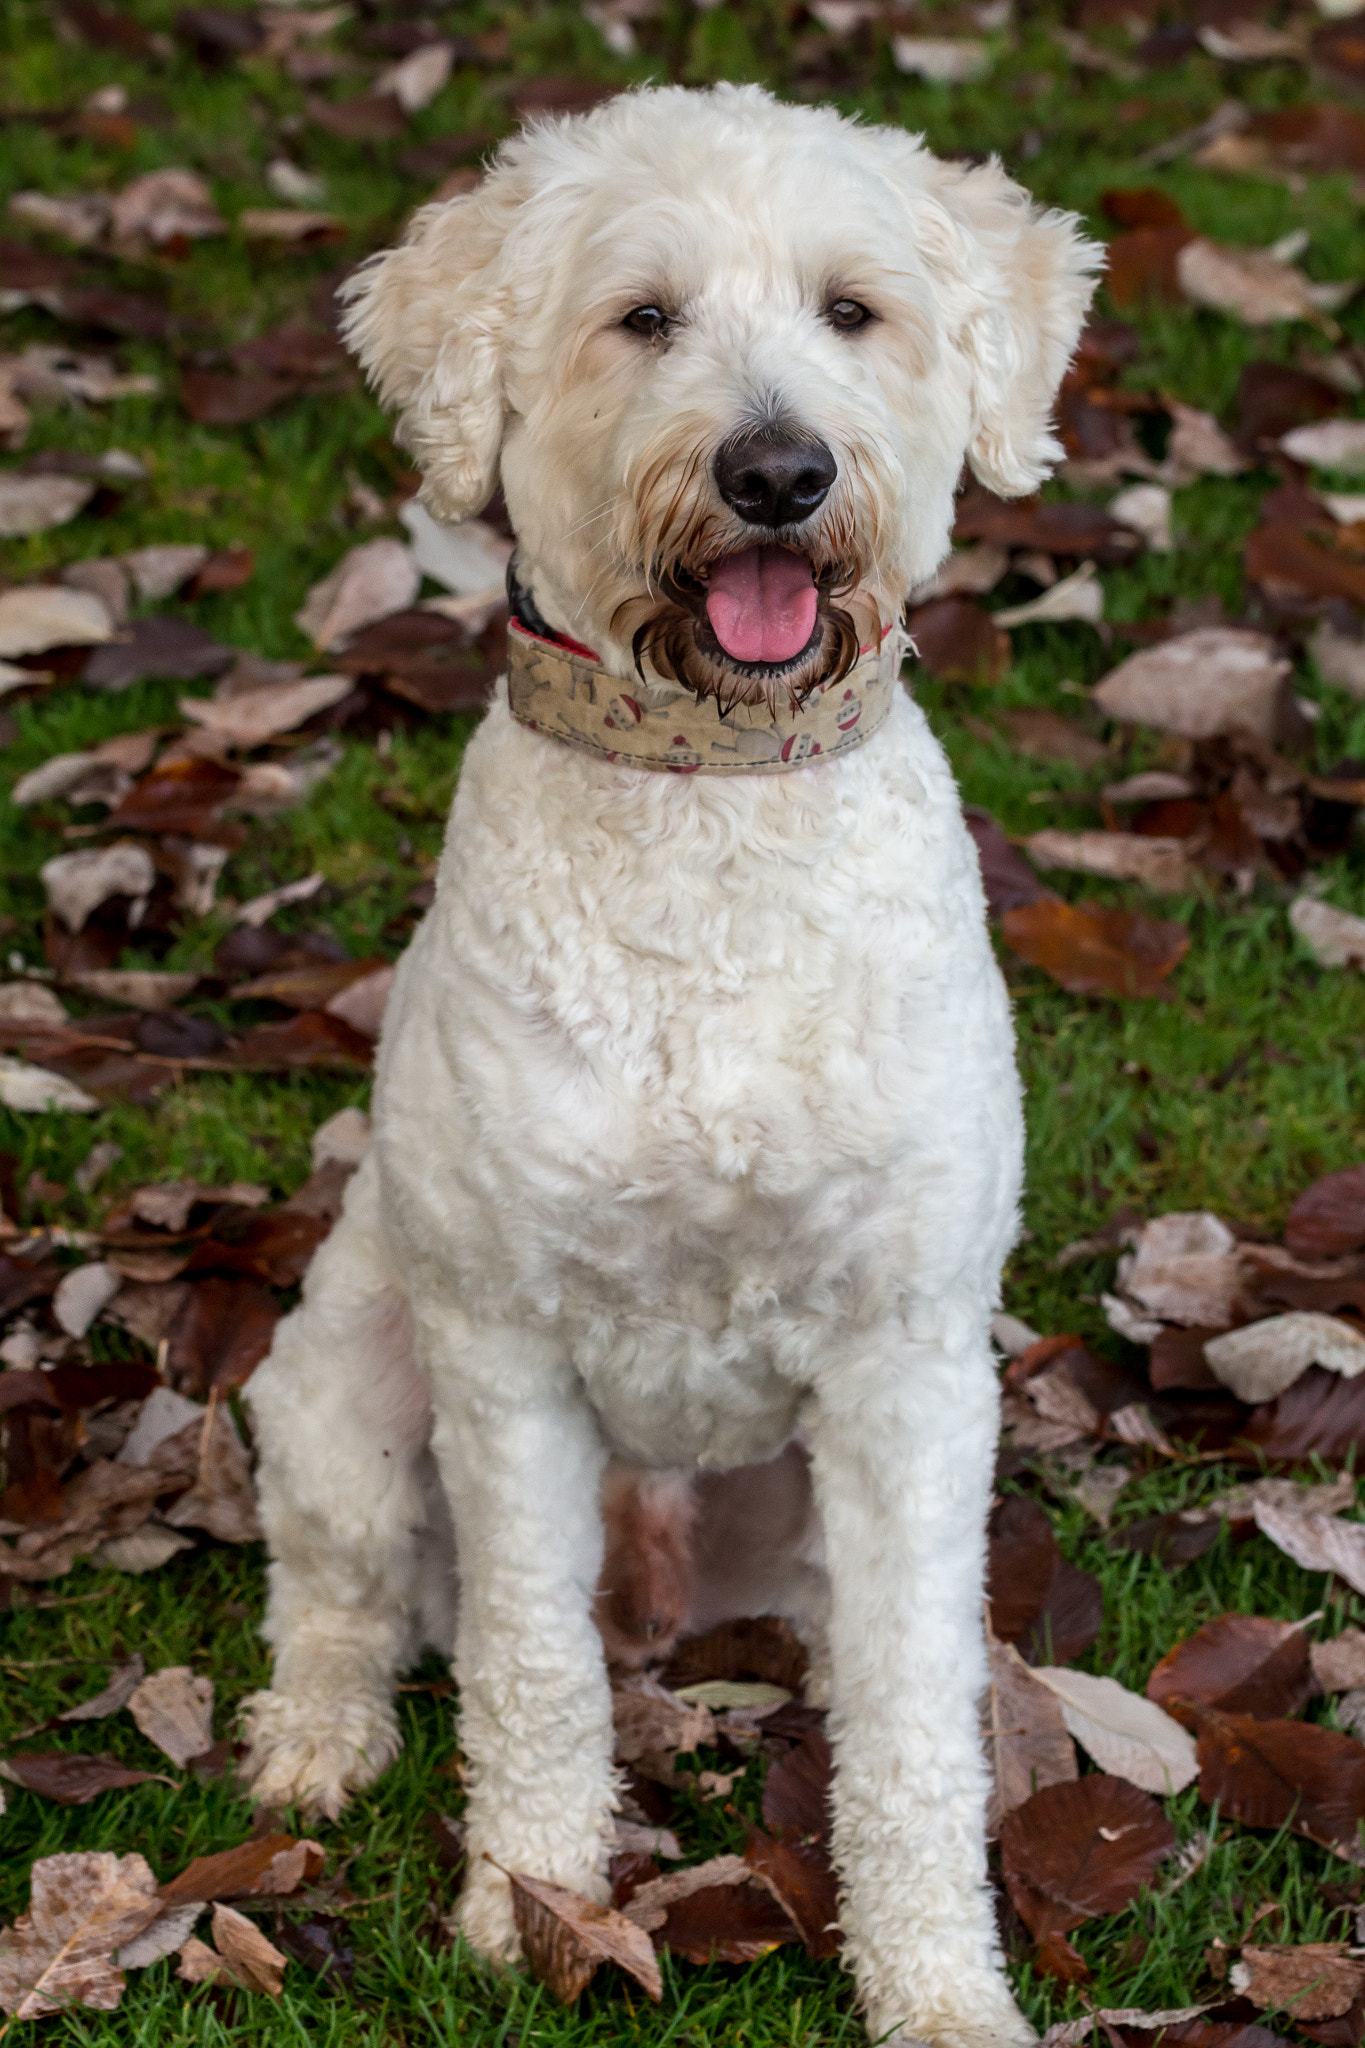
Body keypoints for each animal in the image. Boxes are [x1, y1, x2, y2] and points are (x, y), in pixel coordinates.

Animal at [242, 88, 1096, 2048]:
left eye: (854, 311)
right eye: (642, 319)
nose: (777, 472)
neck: (714, 799)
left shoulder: (910, 1370)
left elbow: (914, 1728)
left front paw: (938, 1985)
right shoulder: (504, 1356)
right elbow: (526, 1663)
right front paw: (528, 1906)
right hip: (342, 1382)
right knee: (342, 1594)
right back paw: (312, 1741)